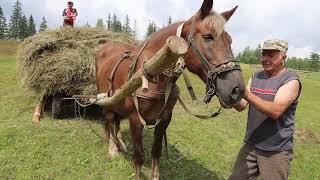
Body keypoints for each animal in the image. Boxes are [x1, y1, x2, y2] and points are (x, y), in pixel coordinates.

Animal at [95, 0, 245, 179]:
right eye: (208, 37)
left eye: (230, 41)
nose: (237, 90)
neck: (153, 71)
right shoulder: (135, 119)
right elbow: (139, 157)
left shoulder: (164, 119)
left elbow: (156, 151)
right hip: (106, 99)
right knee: (109, 120)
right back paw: (112, 148)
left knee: (115, 122)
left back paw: (121, 144)